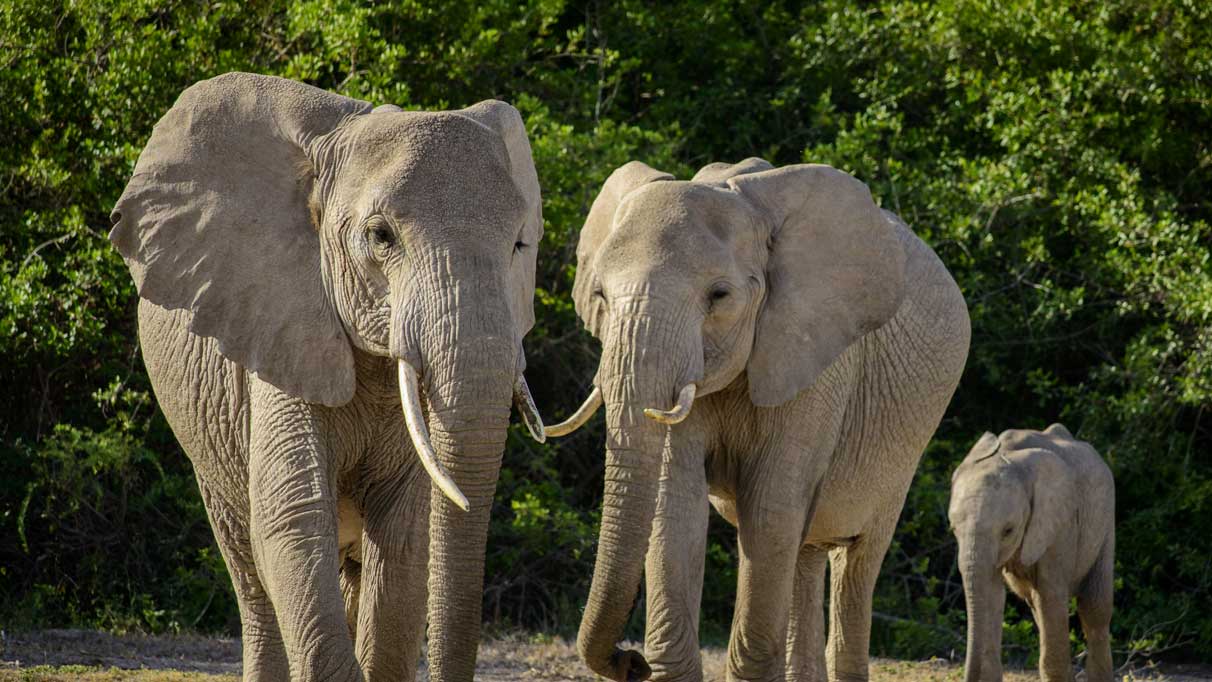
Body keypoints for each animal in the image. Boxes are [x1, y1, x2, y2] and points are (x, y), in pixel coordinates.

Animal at [111, 73, 547, 682]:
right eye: (381, 236)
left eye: (519, 245)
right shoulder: (277, 323)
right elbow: (292, 517)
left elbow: (405, 534)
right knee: (250, 570)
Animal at [550, 157, 974, 678]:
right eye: (600, 296)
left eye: (719, 295)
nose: (631, 662)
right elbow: (675, 504)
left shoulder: (817, 358)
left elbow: (770, 509)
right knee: (804, 551)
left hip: (905, 452)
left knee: (857, 559)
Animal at [945, 426, 1115, 682]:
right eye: (953, 529)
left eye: (1008, 530)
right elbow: (992, 594)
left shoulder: (1059, 524)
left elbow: (1051, 592)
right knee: (1037, 606)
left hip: (1106, 519)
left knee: (1094, 607)